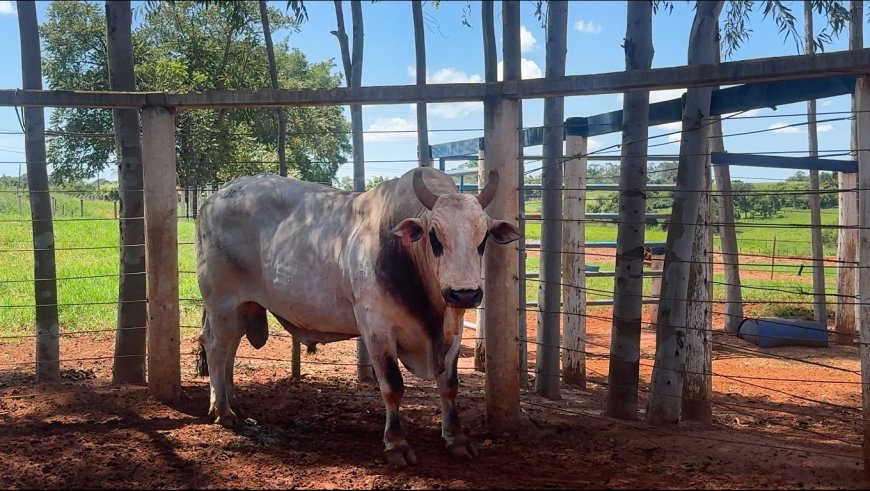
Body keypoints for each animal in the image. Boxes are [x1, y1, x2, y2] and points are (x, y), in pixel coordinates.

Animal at [197, 165, 520, 466]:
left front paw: (456, 439)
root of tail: (213, 197)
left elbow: (450, 386)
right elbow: (392, 386)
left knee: (229, 349)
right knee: (216, 348)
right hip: (222, 303)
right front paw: (396, 444)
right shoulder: (377, 329)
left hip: (242, 307)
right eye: (434, 236)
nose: (464, 294)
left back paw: (232, 402)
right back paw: (223, 410)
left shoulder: (453, 332)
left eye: (483, 237)